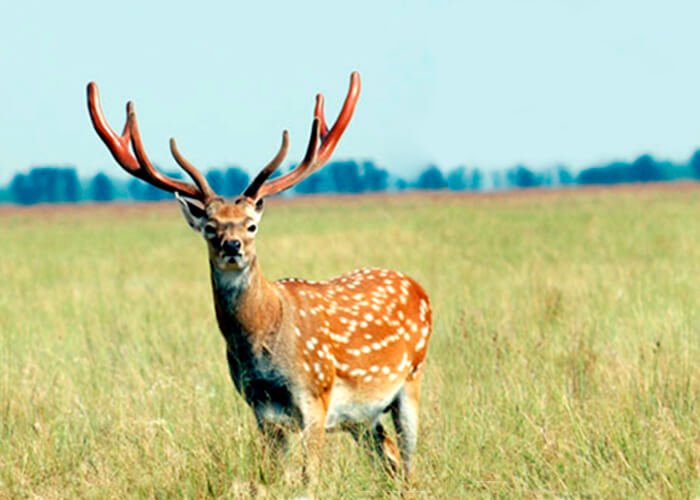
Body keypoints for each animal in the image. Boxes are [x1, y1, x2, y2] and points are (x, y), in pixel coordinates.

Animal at [86, 72, 433, 482]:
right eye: (209, 227)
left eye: (251, 225)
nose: (232, 245)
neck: (265, 341)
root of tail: (417, 286)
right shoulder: (262, 410)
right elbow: (273, 476)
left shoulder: (316, 394)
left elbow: (309, 477)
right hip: (364, 416)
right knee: (390, 459)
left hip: (411, 377)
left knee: (408, 461)